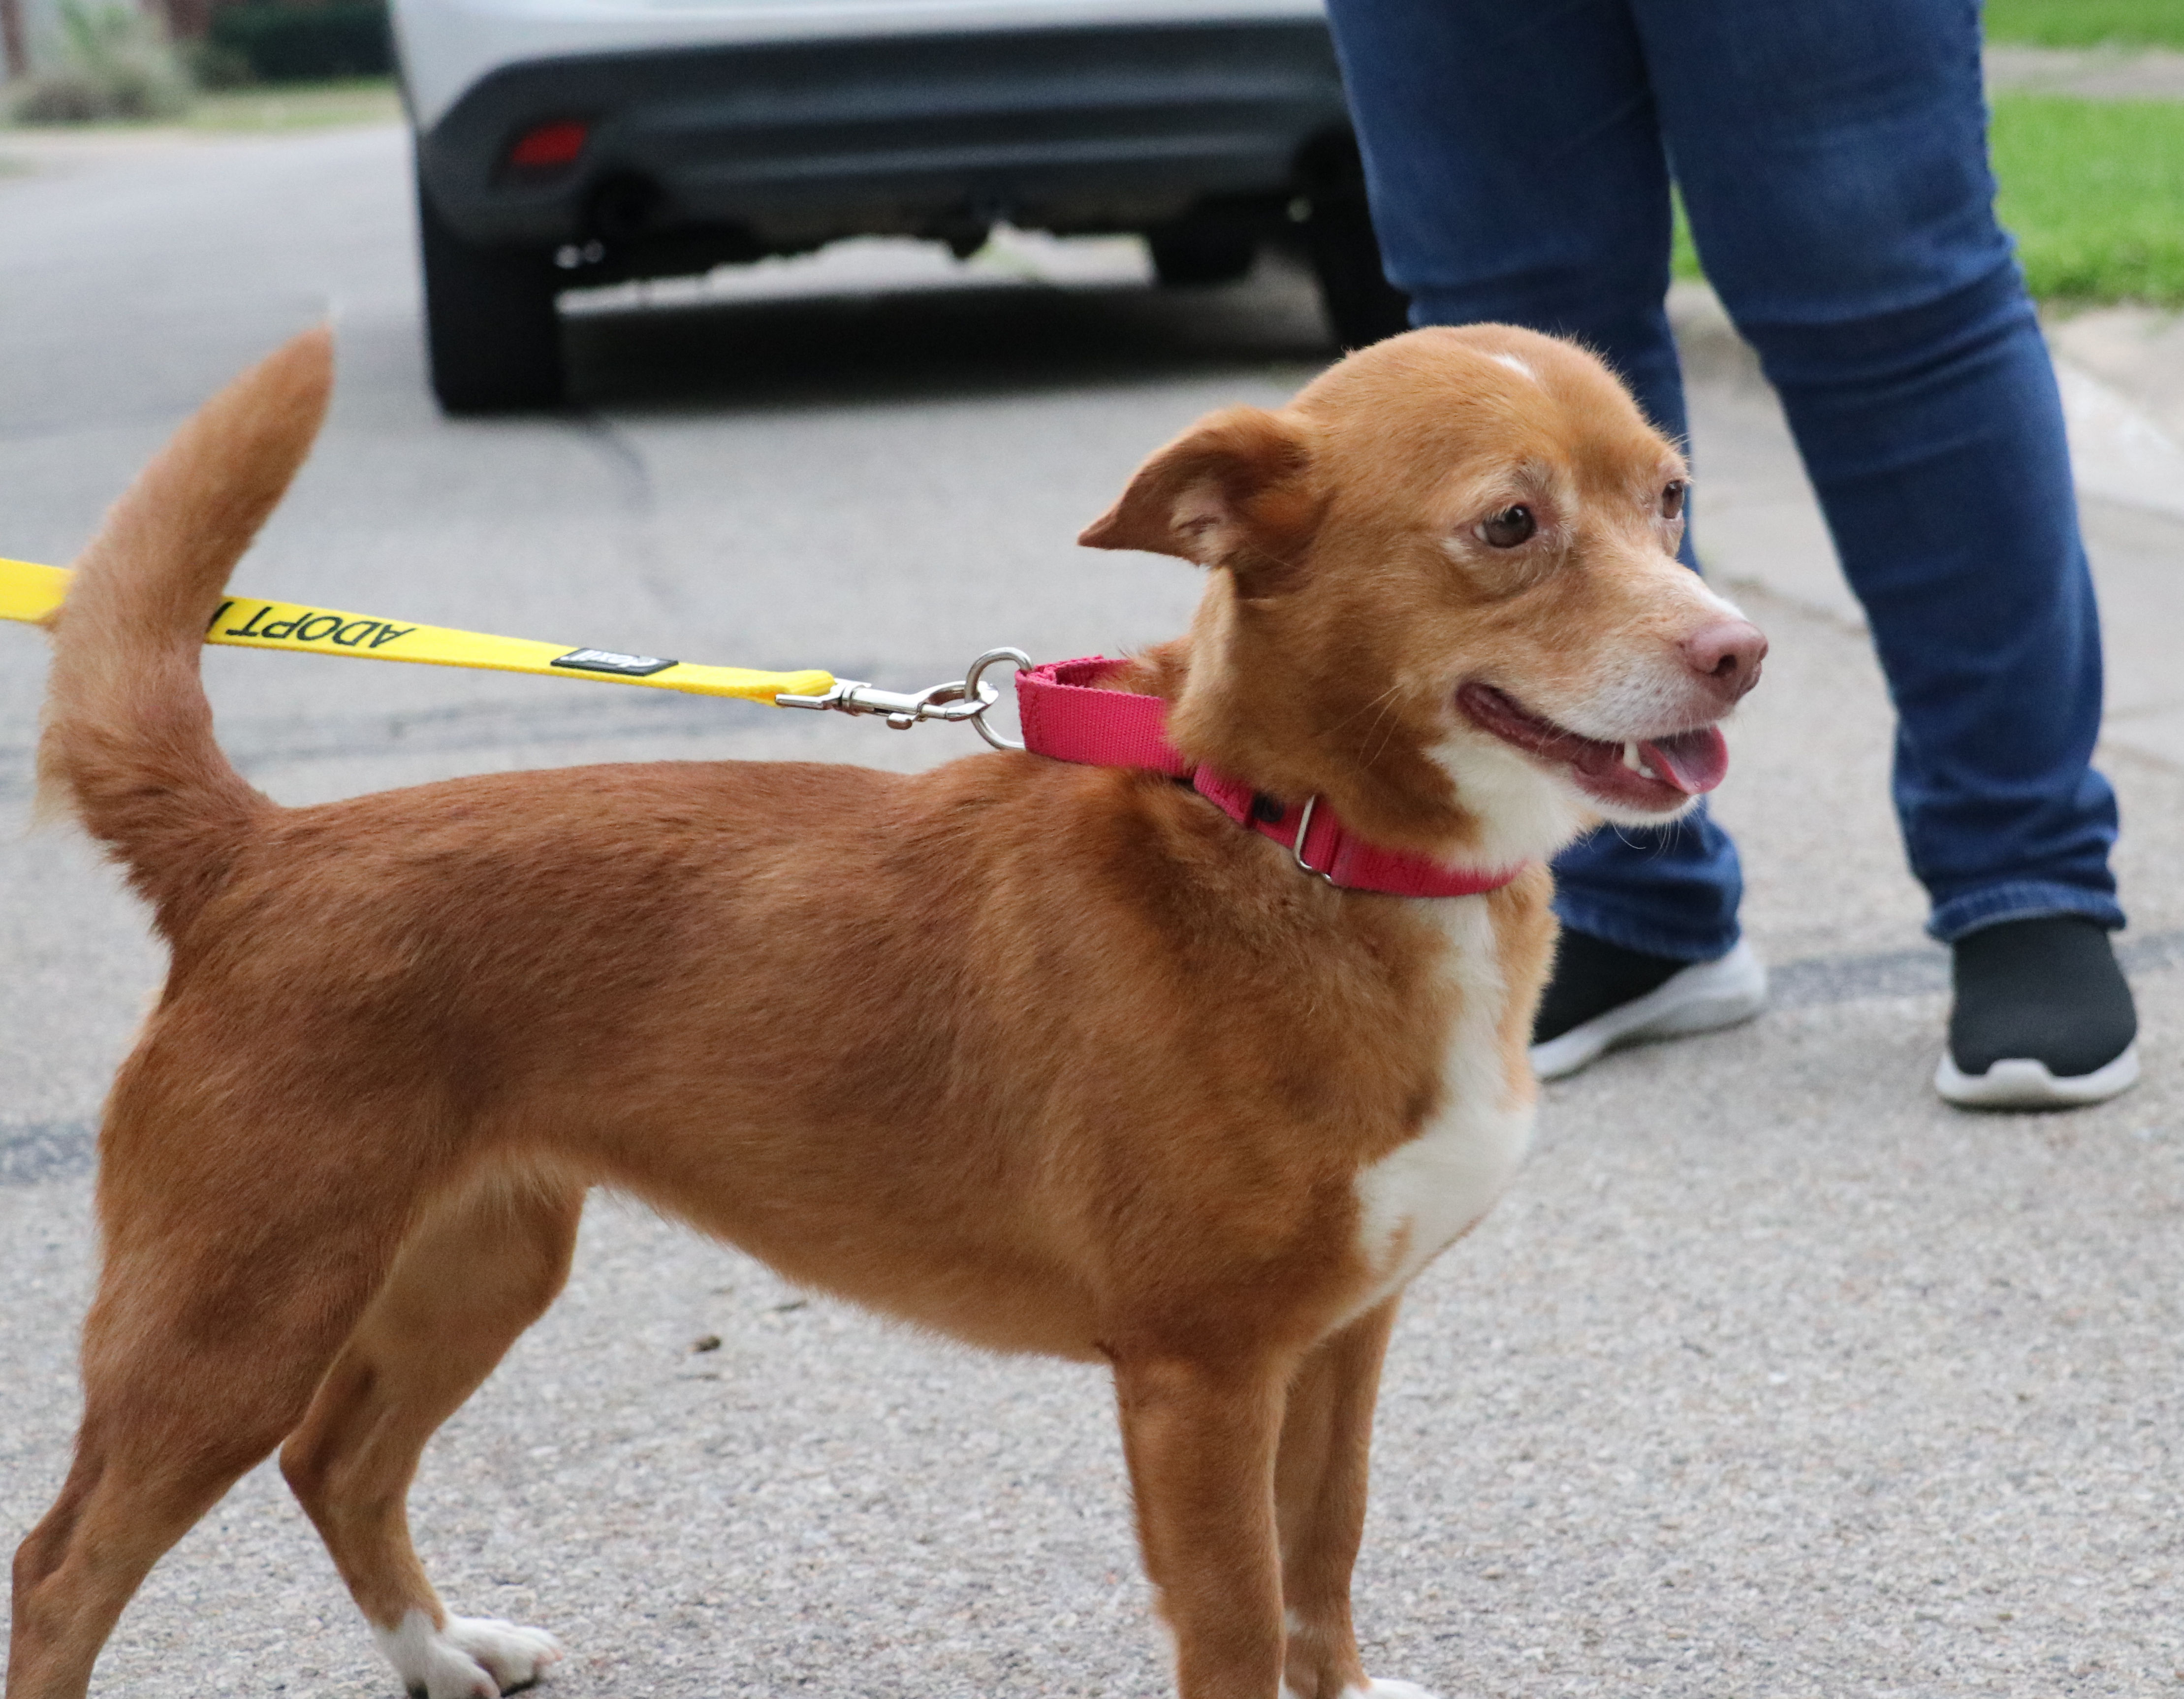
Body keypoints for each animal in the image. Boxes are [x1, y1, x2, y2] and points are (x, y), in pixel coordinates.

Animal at [8, 321, 1756, 1695]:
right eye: (1510, 523)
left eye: (1672, 497)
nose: (1738, 650)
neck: (1285, 836)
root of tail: (259, 848)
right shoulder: (1198, 1377)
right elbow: (1241, 1622)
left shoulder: (1342, 1336)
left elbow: (1320, 1566)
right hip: (232, 1321)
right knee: (61, 1574)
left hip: (477, 1264)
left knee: (339, 1462)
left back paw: (442, 1651)